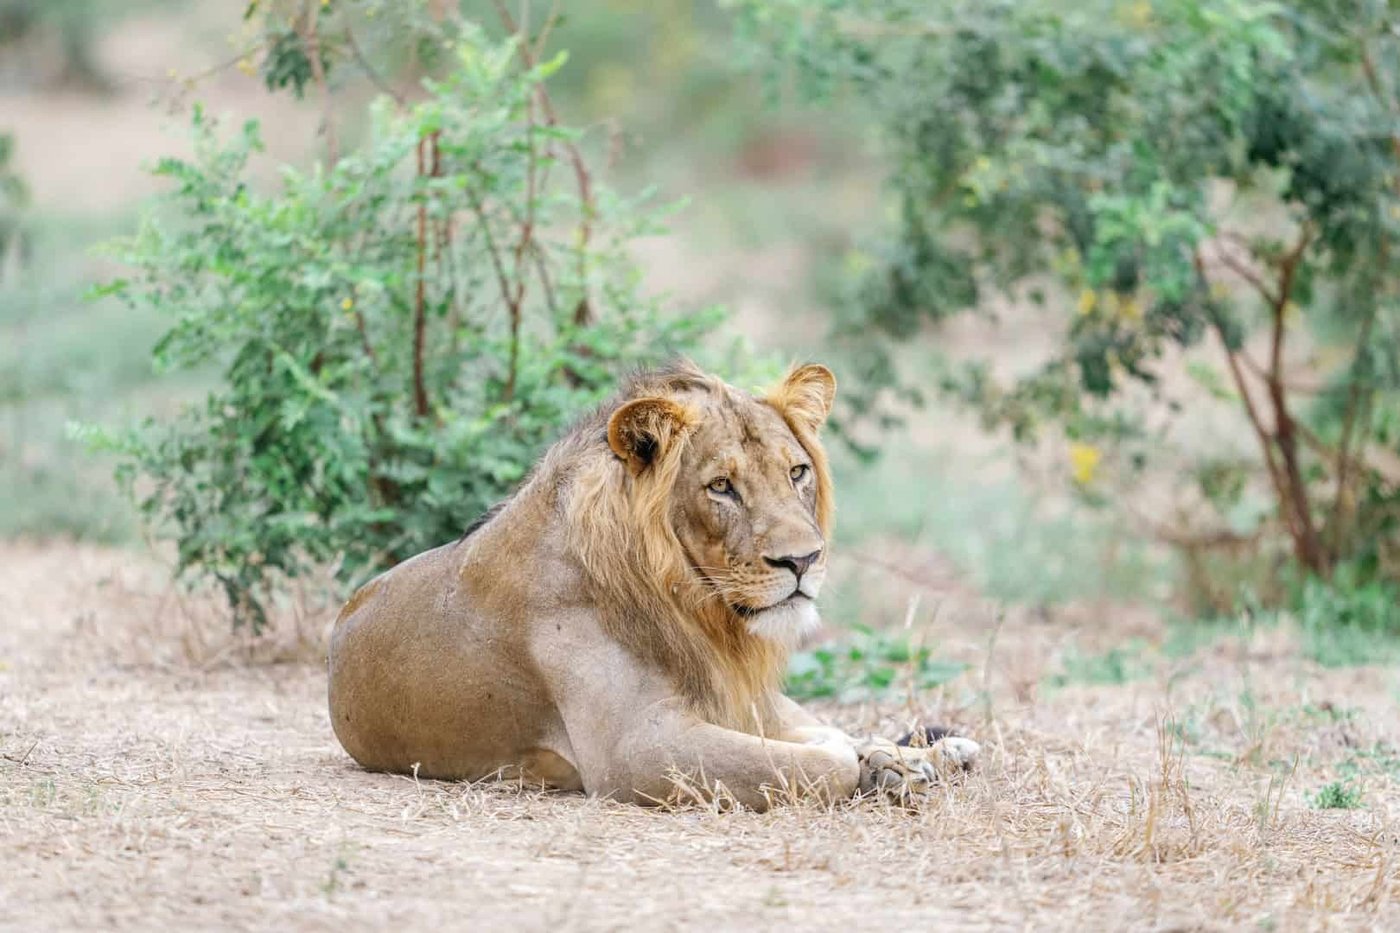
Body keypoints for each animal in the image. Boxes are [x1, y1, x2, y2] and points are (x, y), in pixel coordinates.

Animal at [328, 361, 978, 809]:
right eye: (721, 487)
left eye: (797, 472)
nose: (804, 560)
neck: (692, 605)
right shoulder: (633, 751)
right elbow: (820, 762)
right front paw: (870, 765)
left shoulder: (734, 699)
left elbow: (825, 735)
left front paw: (898, 758)